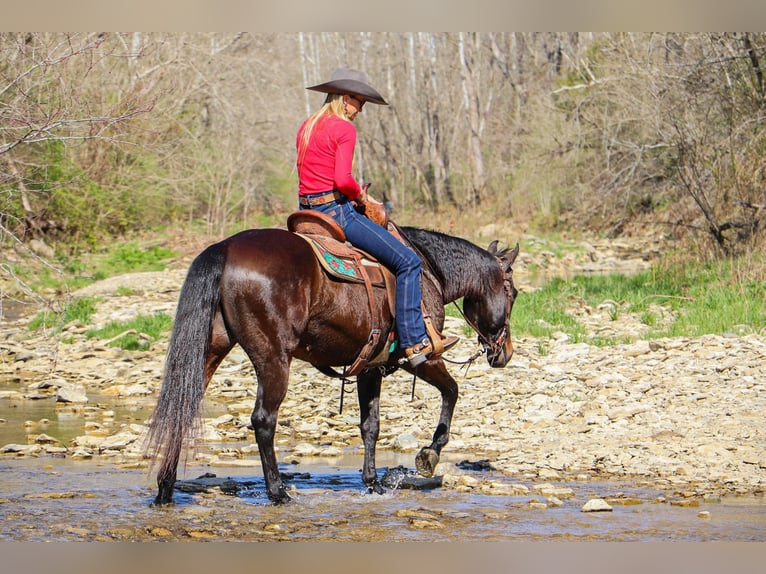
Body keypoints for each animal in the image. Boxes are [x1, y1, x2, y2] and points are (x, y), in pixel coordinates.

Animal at [147, 223, 520, 506]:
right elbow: (452, 392)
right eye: (513, 293)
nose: (505, 353)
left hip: (210, 351)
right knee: (264, 421)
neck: (429, 273)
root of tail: (225, 248)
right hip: (273, 358)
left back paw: (166, 490)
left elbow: (370, 426)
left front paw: (372, 482)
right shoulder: (422, 358)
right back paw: (278, 493)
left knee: (182, 410)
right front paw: (430, 455)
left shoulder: (370, 367)